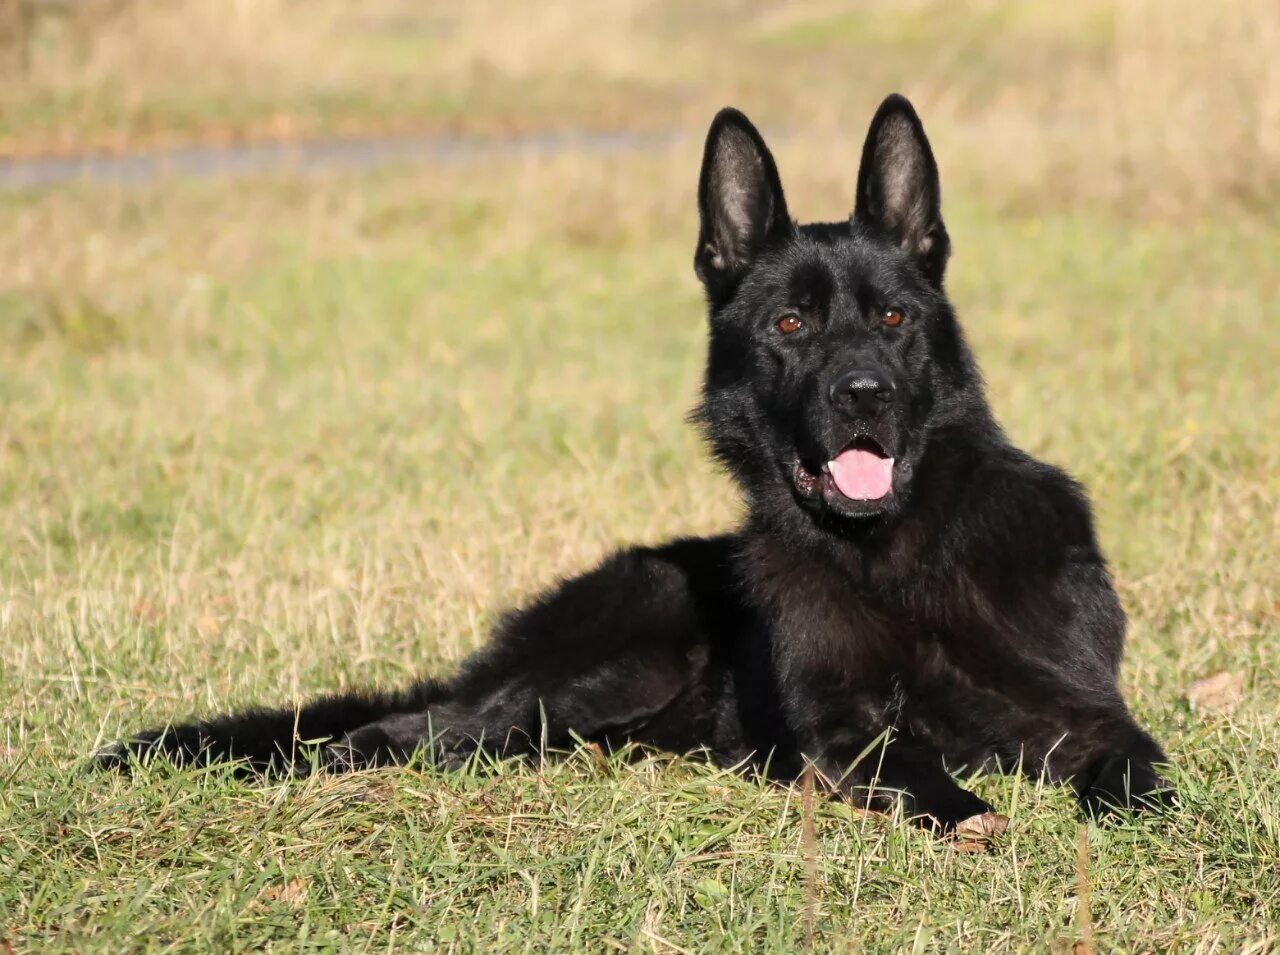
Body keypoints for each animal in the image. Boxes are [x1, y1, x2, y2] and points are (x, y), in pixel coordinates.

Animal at [94, 94, 1172, 824]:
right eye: (790, 324)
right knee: (402, 731)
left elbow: (1135, 768)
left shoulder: (1086, 712)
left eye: (895, 320)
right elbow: (912, 763)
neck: (894, 553)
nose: (861, 393)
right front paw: (964, 813)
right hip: (618, 659)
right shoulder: (844, 732)